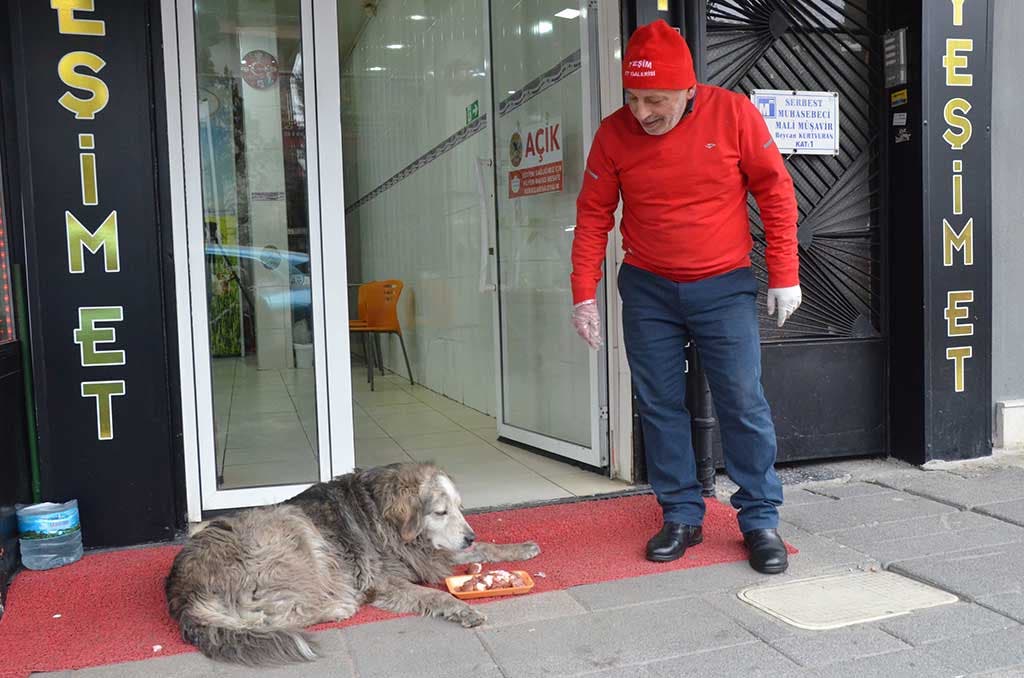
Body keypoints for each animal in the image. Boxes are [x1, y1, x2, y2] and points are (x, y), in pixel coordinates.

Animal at [163, 464, 540, 667]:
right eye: (440, 511)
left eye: (460, 508)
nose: (469, 536)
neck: (383, 515)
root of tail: (181, 590)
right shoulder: (385, 580)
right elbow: (436, 595)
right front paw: (461, 608)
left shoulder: (430, 554)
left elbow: (485, 550)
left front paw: (519, 548)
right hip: (293, 528)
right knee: (272, 616)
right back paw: (340, 605)